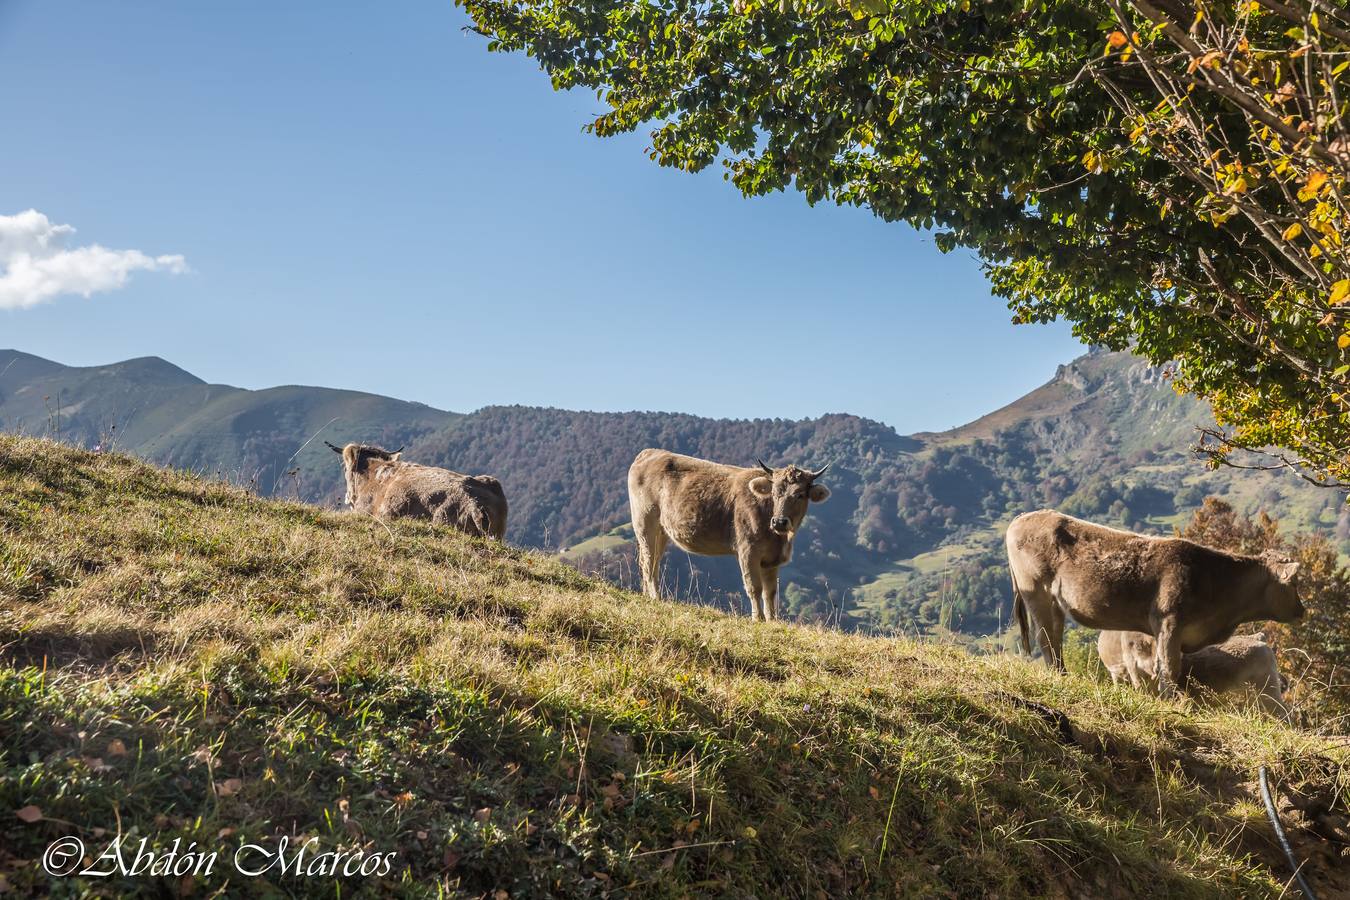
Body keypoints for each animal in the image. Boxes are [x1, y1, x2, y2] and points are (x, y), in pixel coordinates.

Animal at [626, 447, 826, 620]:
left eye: (800, 495)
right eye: (775, 492)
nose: (779, 521)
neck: (780, 539)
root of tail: (650, 452)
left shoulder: (772, 559)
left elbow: (770, 592)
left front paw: (772, 620)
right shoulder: (747, 552)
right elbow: (754, 587)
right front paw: (758, 619)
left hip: (661, 532)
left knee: (649, 562)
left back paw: (647, 596)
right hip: (644, 524)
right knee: (650, 564)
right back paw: (656, 598)